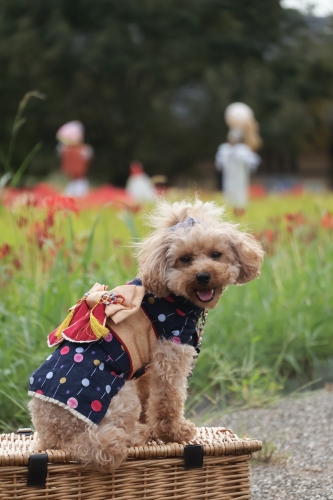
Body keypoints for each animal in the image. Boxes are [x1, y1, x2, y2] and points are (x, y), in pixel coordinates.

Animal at [28, 197, 264, 470]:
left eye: (216, 254)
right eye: (185, 259)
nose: (203, 276)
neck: (174, 296)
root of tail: (63, 437)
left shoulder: (147, 368)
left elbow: (150, 397)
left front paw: (152, 424)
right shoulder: (172, 352)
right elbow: (168, 400)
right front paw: (175, 432)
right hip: (119, 395)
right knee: (119, 435)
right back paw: (140, 433)